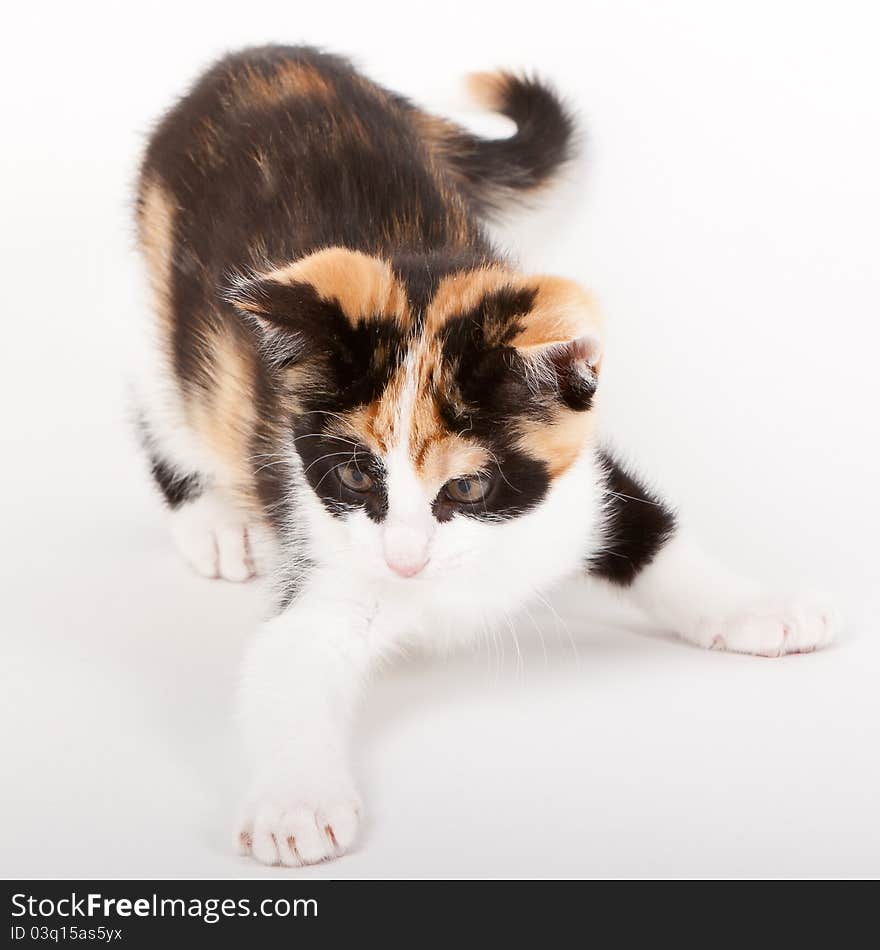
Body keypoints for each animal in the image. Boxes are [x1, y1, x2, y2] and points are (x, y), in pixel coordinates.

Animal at [134, 44, 836, 868]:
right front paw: (295, 805)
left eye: (468, 489)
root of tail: (270, 55)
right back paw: (211, 521)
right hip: (156, 310)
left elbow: (657, 536)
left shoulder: (579, 482)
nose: (404, 560)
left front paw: (761, 609)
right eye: (356, 475)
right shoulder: (320, 550)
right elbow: (286, 666)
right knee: (156, 398)